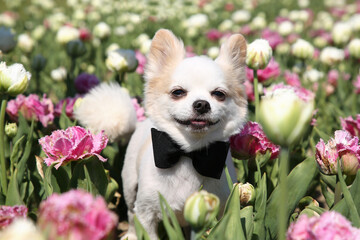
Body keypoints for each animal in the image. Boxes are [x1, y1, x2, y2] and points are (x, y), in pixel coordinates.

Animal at [121, 29, 248, 239]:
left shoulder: (221, 211)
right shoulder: (146, 213)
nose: (202, 104)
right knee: (131, 213)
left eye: (219, 94)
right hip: (130, 184)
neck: (190, 154)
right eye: (178, 92)